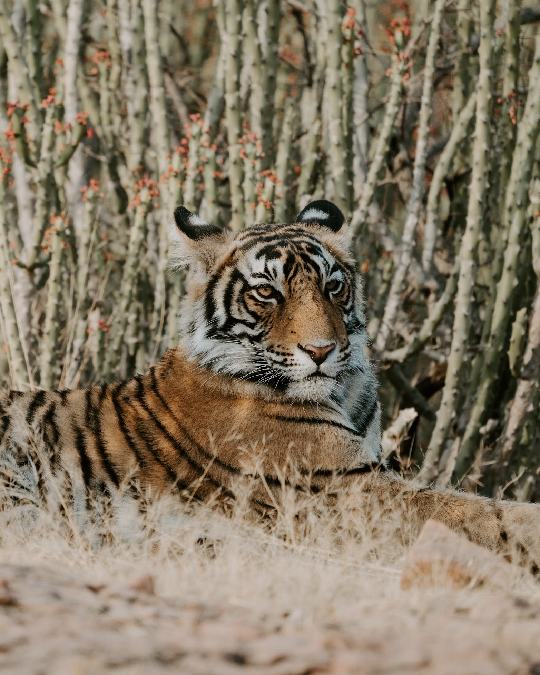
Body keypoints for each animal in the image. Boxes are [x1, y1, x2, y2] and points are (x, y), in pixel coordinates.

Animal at [1, 201, 540, 564]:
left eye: (333, 286)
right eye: (267, 293)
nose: (321, 351)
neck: (344, 391)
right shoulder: (352, 492)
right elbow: (480, 514)